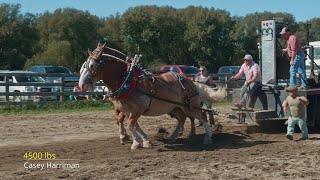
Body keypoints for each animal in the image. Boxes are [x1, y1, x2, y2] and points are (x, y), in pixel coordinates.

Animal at [79, 43, 226, 150]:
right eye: (84, 65)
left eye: (92, 65)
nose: (81, 85)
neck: (128, 80)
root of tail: (191, 82)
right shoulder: (128, 110)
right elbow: (132, 124)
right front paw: (143, 141)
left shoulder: (137, 109)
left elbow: (130, 125)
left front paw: (136, 142)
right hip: (175, 108)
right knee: (182, 119)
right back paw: (172, 137)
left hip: (191, 106)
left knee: (202, 116)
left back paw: (207, 138)